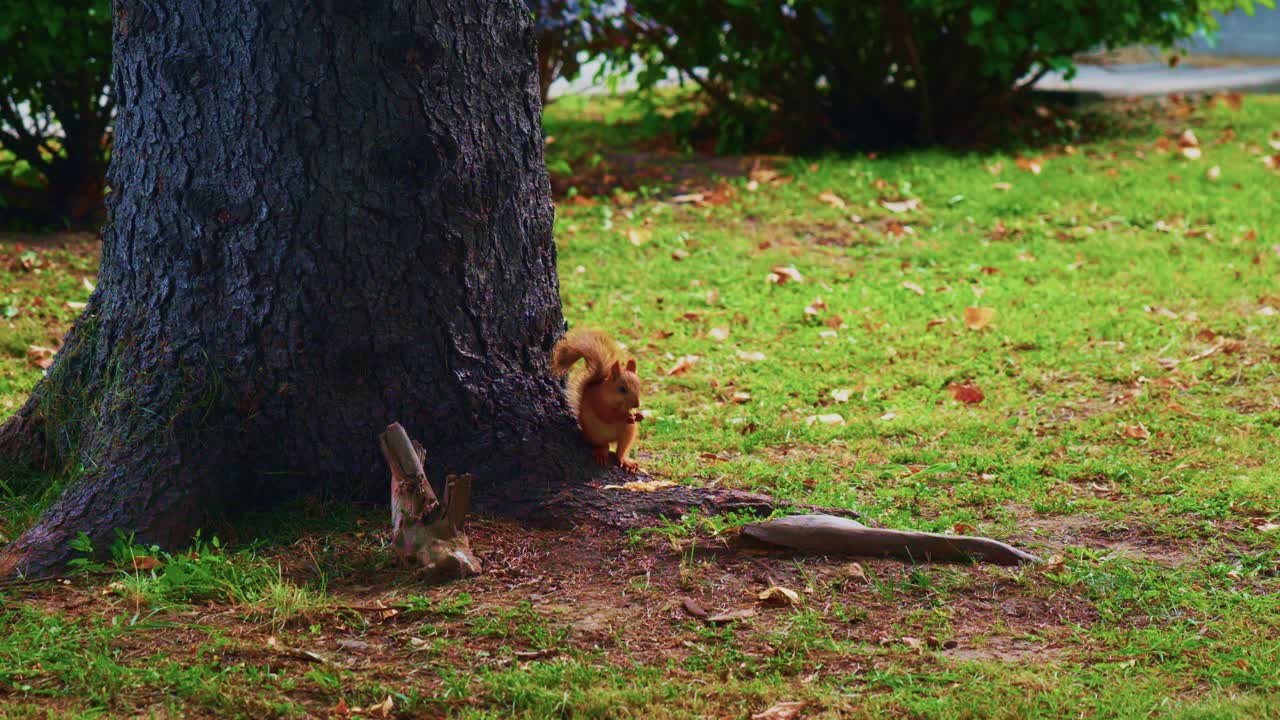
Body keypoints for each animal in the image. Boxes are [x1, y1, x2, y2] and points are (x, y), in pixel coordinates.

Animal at [551, 328, 643, 472]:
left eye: (640, 387)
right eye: (622, 389)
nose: (637, 404)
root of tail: (611, 439)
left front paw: (638, 415)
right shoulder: (597, 401)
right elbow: (607, 415)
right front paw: (625, 416)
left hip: (629, 432)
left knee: (621, 451)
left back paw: (626, 461)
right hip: (595, 435)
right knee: (602, 446)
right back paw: (601, 453)